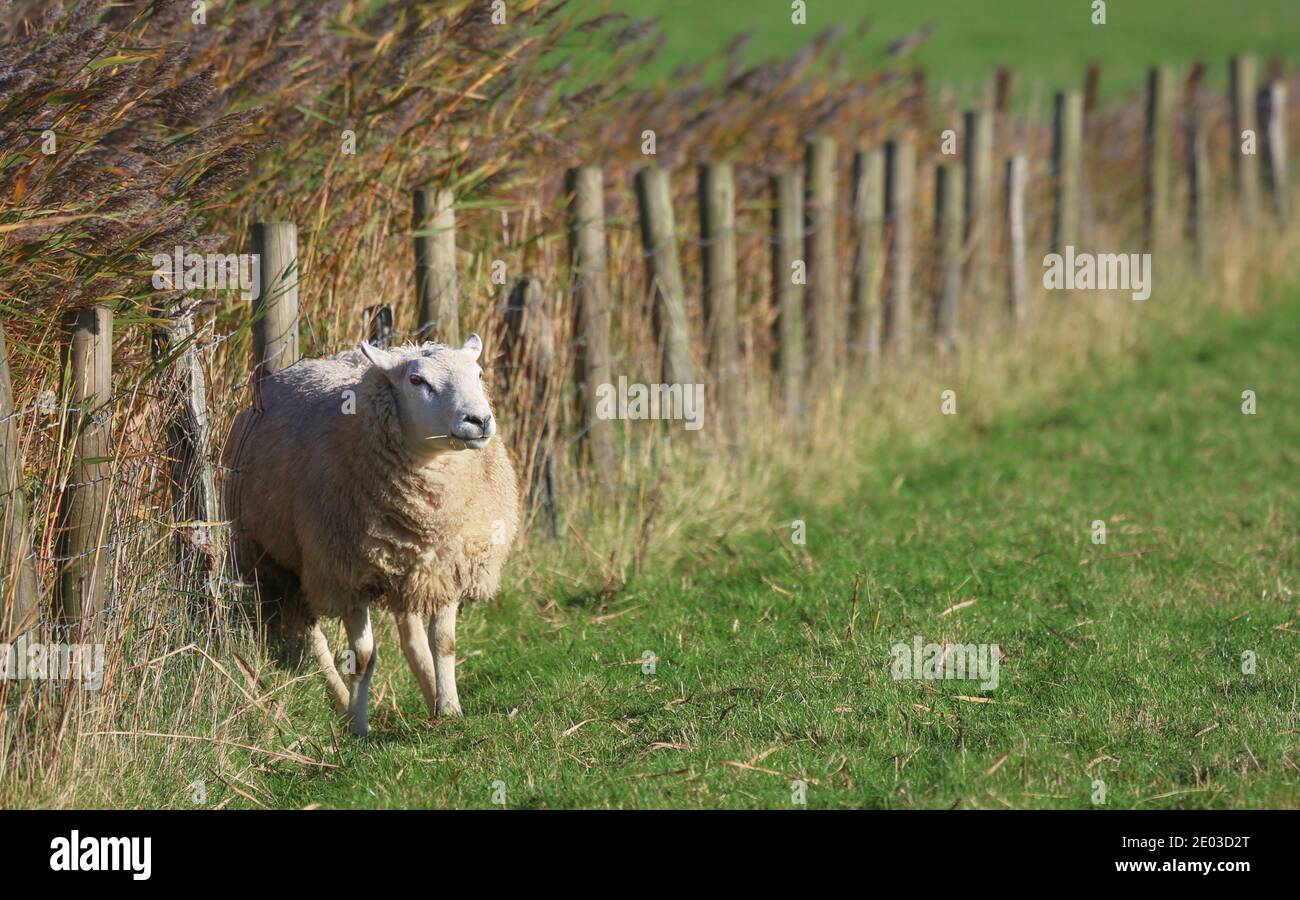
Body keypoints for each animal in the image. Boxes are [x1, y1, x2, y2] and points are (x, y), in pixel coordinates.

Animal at [226, 332, 520, 733]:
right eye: (417, 381)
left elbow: (444, 643)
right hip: (276, 559)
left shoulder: (446, 565)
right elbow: (362, 657)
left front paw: (450, 709)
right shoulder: (348, 574)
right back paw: (340, 699)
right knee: (307, 628)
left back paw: (429, 691)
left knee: (410, 632)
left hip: (403, 563)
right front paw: (359, 726)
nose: (479, 420)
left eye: (478, 373)